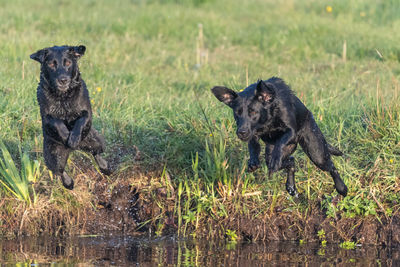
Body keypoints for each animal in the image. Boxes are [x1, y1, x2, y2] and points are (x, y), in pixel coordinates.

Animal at [30, 45, 111, 189]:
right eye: (51, 64)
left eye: (68, 63)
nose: (63, 80)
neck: (63, 97)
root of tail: (77, 149)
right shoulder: (46, 116)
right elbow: (57, 122)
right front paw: (66, 135)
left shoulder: (87, 113)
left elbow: (81, 120)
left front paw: (73, 138)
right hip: (55, 155)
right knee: (59, 171)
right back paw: (69, 183)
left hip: (95, 141)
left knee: (96, 153)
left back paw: (105, 167)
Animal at [212, 77, 346, 197]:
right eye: (237, 113)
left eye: (253, 112)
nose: (241, 132)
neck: (268, 117)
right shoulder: (253, 133)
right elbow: (253, 145)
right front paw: (253, 161)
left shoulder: (291, 131)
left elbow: (281, 143)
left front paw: (275, 158)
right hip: (278, 152)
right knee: (291, 162)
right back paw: (291, 187)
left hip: (316, 152)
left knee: (331, 167)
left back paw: (342, 188)